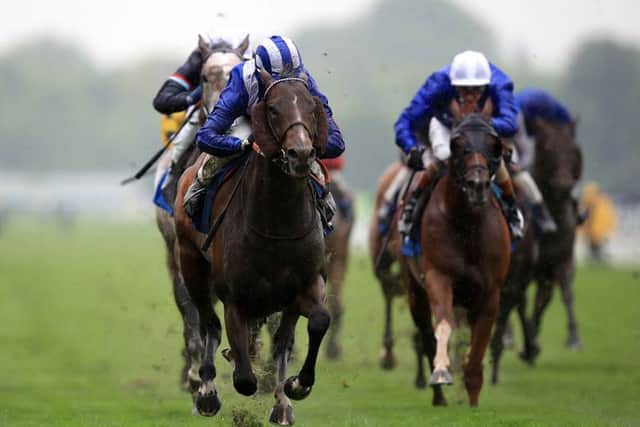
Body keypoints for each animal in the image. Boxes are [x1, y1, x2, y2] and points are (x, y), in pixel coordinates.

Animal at [174, 70, 330, 424]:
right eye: (273, 109)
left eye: (312, 108)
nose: (301, 154)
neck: (277, 222)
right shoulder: (235, 297)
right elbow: (244, 378)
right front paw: (226, 375)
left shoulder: (306, 283)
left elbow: (316, 322)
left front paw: (297, 386)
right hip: (191, 264)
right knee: (208, 323)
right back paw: (207, 391)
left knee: (281, 339)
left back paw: (282, 403)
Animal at [402, 114, 512, 408]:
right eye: (458, 145)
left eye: (494, 145)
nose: (477, 184)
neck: (467, 226)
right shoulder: (438, 276)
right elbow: (443, 325)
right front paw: (441, 371)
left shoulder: (491, 292)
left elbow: (476, 354)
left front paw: (472, 402)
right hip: (414, 291)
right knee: (426, 336)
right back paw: (439, 397)